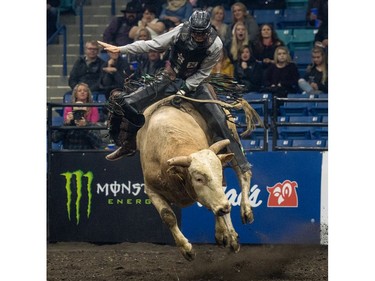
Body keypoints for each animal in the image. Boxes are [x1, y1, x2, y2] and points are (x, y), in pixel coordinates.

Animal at [137, 92, 262, 260]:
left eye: (218, 173)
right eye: (198, 179)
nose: (225, 207)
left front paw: (226, 233)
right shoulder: (151, 190)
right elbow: (168, 216)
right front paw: (186, 249)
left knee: (243, 175)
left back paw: (243, 216)